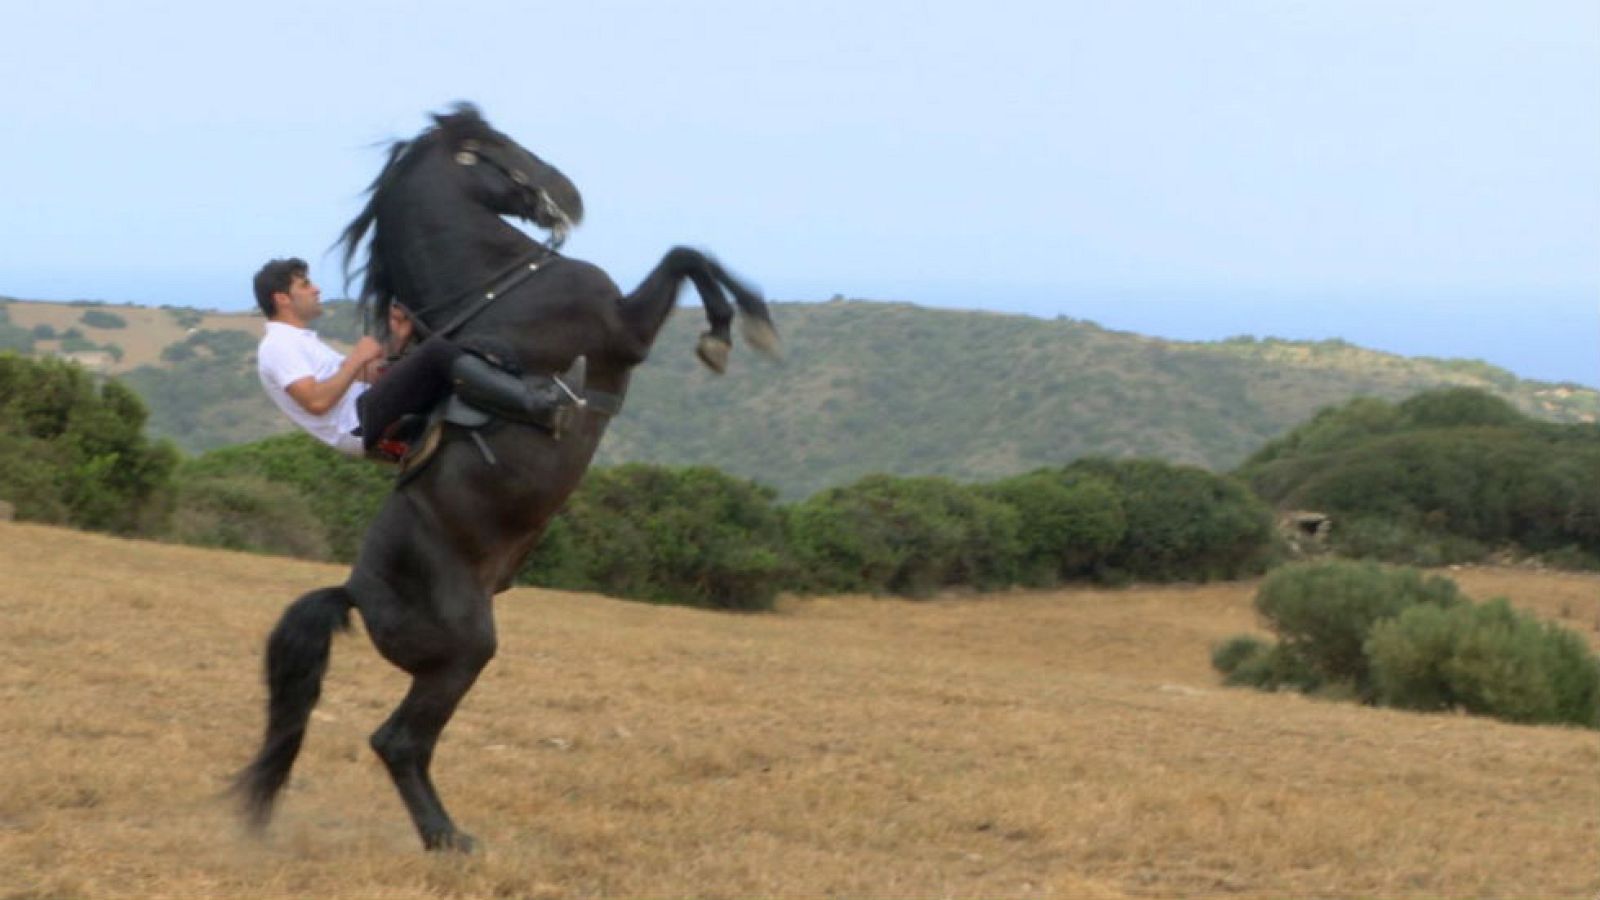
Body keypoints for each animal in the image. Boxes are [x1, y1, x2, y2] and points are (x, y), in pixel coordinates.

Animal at [233, 103, 779, 852]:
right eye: (492, 148)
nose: (569, 195)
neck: (496, 285)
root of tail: (353, 591)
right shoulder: (624, 331)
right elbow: (684, 256)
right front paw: (732, 330)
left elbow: (691, 253)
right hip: (463, 653)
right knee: (398, 741)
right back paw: (448, 841)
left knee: (404, 745)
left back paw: (447, 836)